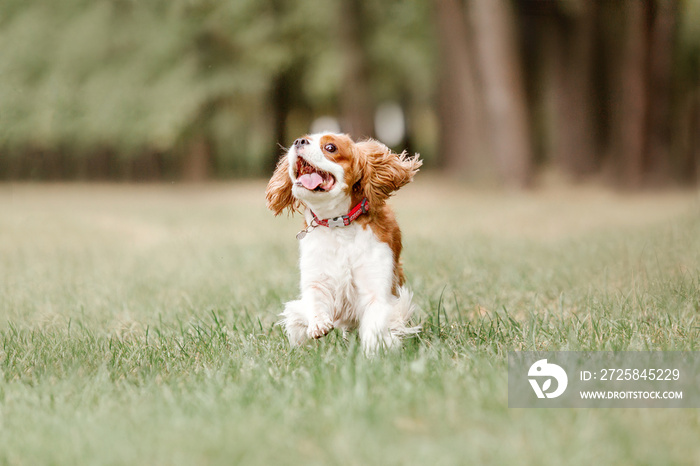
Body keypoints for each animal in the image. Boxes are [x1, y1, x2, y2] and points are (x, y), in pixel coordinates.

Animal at [266, 131, 422, 354]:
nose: (298, 141)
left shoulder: (376, 286)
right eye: (303, 138)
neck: (337, 224)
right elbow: (314, 300)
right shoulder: (317, 276)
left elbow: (375, 323)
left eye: (330, 147)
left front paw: (373, 350)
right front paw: (318, 325)